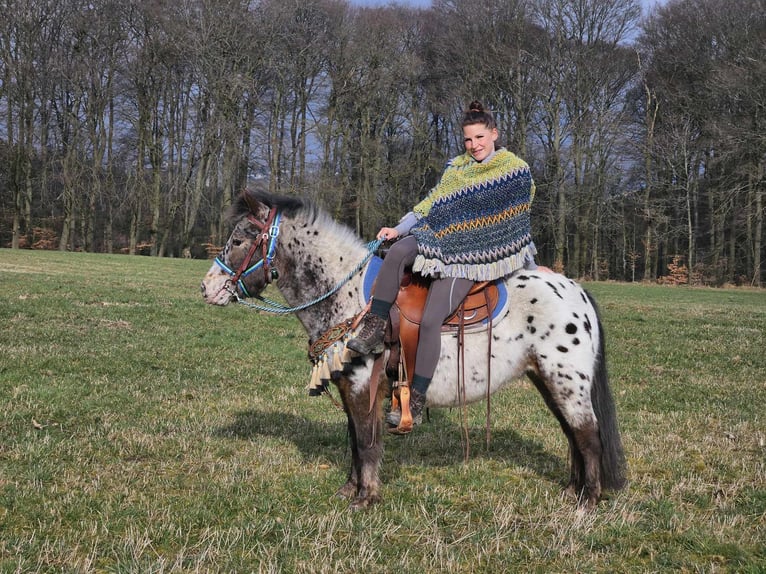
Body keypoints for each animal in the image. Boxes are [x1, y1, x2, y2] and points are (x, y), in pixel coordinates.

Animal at [201, 189, 628, 512]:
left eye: (239, 239)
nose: (207, 288)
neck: (351, 297)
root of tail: (577, 292)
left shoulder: (362, 386)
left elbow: (367, 442)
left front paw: (365, 498)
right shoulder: (350, 388)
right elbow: (354, 440)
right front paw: (350, 490)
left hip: (567, 381)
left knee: (588, 435)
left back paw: (587, 502)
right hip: (547, 379)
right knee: (572, 434)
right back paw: (573, 491)